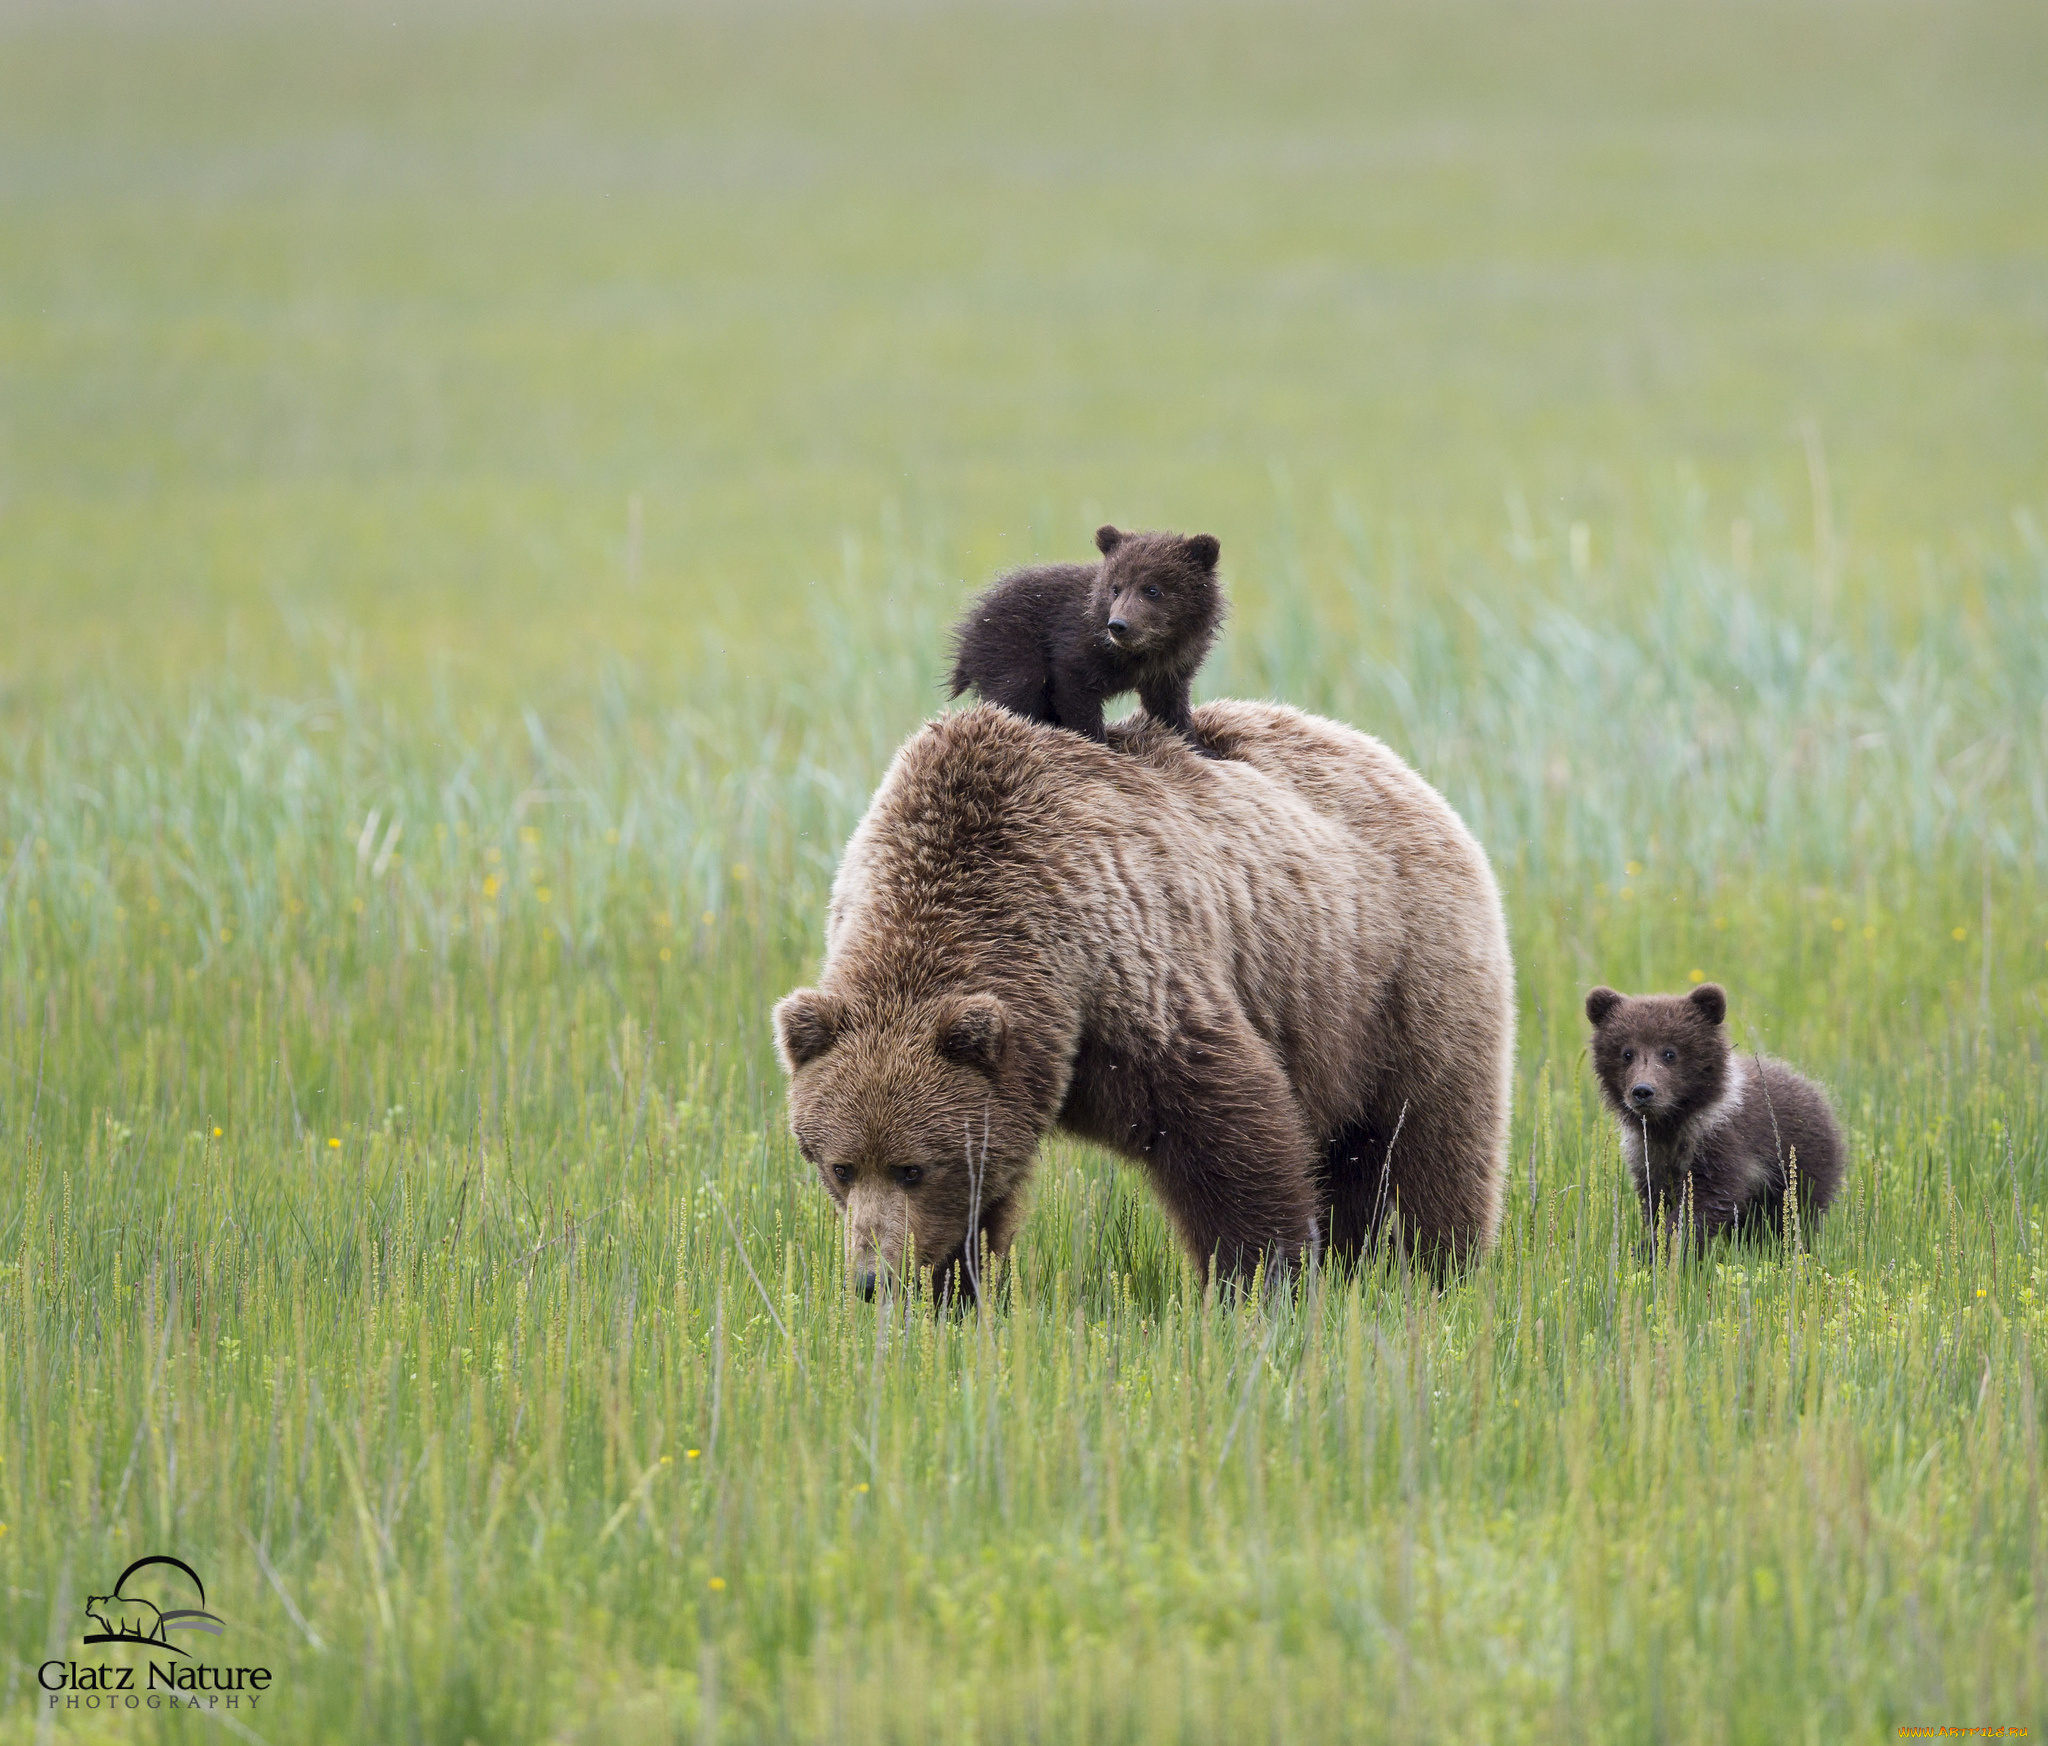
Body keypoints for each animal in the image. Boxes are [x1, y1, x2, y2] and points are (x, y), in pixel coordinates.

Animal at [774, 700, 1515, 1293]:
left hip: (1395, 978)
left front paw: (1261, 1283)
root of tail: (1391, 761)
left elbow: (1233, 1133)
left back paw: (1436, 1274)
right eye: (841, 1167)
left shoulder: (1129, 971)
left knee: (1427, 1143)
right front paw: (957, 1295)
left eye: (912, 1168)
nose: (872, 1279)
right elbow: (984, 1197)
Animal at [946, 528, 1220, 753]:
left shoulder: (1170, 666)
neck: (1146, 650)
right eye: (1115, 588)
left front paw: (1198, 746)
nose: (1118, 625)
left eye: (1152, 590)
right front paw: (1098, 744)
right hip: (1011, 645)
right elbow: (1075, 690)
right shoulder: (1076, 644)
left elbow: (1169, 705)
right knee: (1016, 691)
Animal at [1572, 986, 1851, 1244]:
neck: (1671, 1123)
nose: (1643, 1090)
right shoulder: (1648, 1154)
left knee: (1792, 1215)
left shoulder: (1718, 1141)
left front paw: (1654, 1247)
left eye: (1670, 1052)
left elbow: (1706, 1201)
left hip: (1800, 1164)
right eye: (1626, 1053)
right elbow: (1656, 1200)